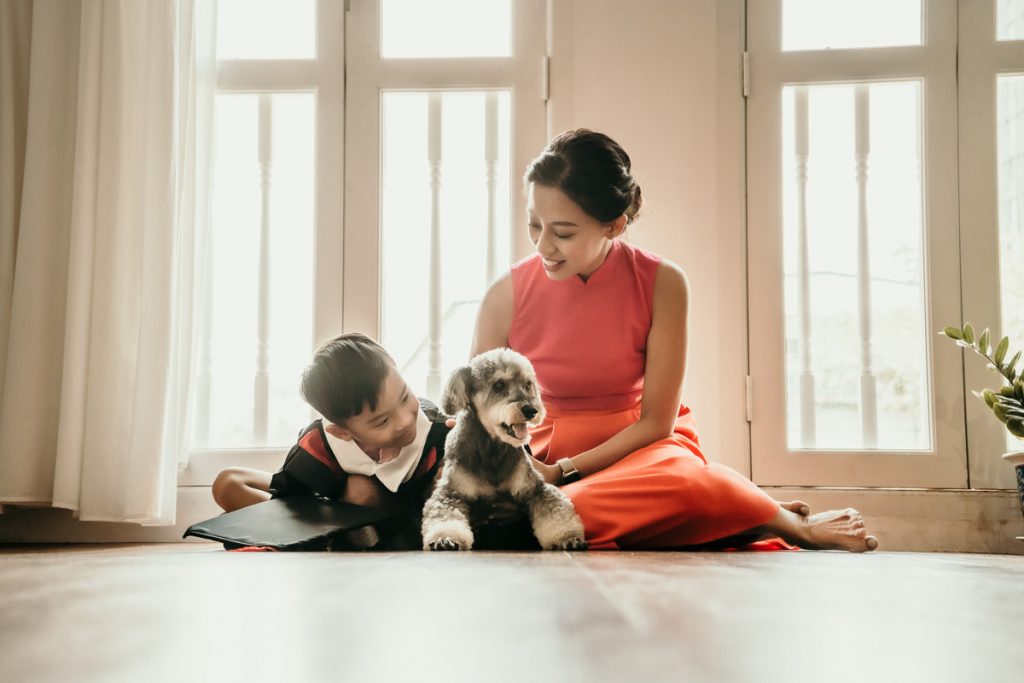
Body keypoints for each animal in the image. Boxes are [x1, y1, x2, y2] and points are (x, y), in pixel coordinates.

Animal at [419, 350, 589, 552]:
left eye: (527, 384)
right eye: (498, 384)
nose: (531, 410)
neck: (492, 450)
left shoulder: (536, 489)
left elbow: (556, 511)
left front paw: (568, 537)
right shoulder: (451, 493)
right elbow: (445, 515)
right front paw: (445, 538)